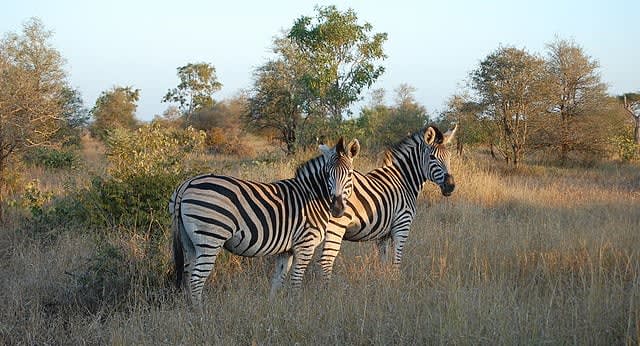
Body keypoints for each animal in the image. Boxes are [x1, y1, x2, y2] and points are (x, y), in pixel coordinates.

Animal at [170, 137, 360, 304]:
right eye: (327, 174)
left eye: (349, 174)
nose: (337, 209)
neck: (312, 196)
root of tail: (187, 183)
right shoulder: (305, 244)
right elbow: (296, 281)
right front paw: (295, 307)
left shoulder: (287, 249)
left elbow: (278, 280)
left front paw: (273, 308)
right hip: (210, 237)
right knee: (196, 280)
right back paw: (200, 314)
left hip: (189, 241)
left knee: (187, 274)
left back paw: (189, 311)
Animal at [318, 124, 458, 278]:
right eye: (432, 157)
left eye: (449, 157)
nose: (450, 186)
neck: (404, 180)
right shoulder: (402, 226)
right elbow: (396, 261)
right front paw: (395, 281)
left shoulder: (383, 234)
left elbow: (383, 262)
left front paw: (383, 280)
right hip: (335, 226)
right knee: (326, 261)